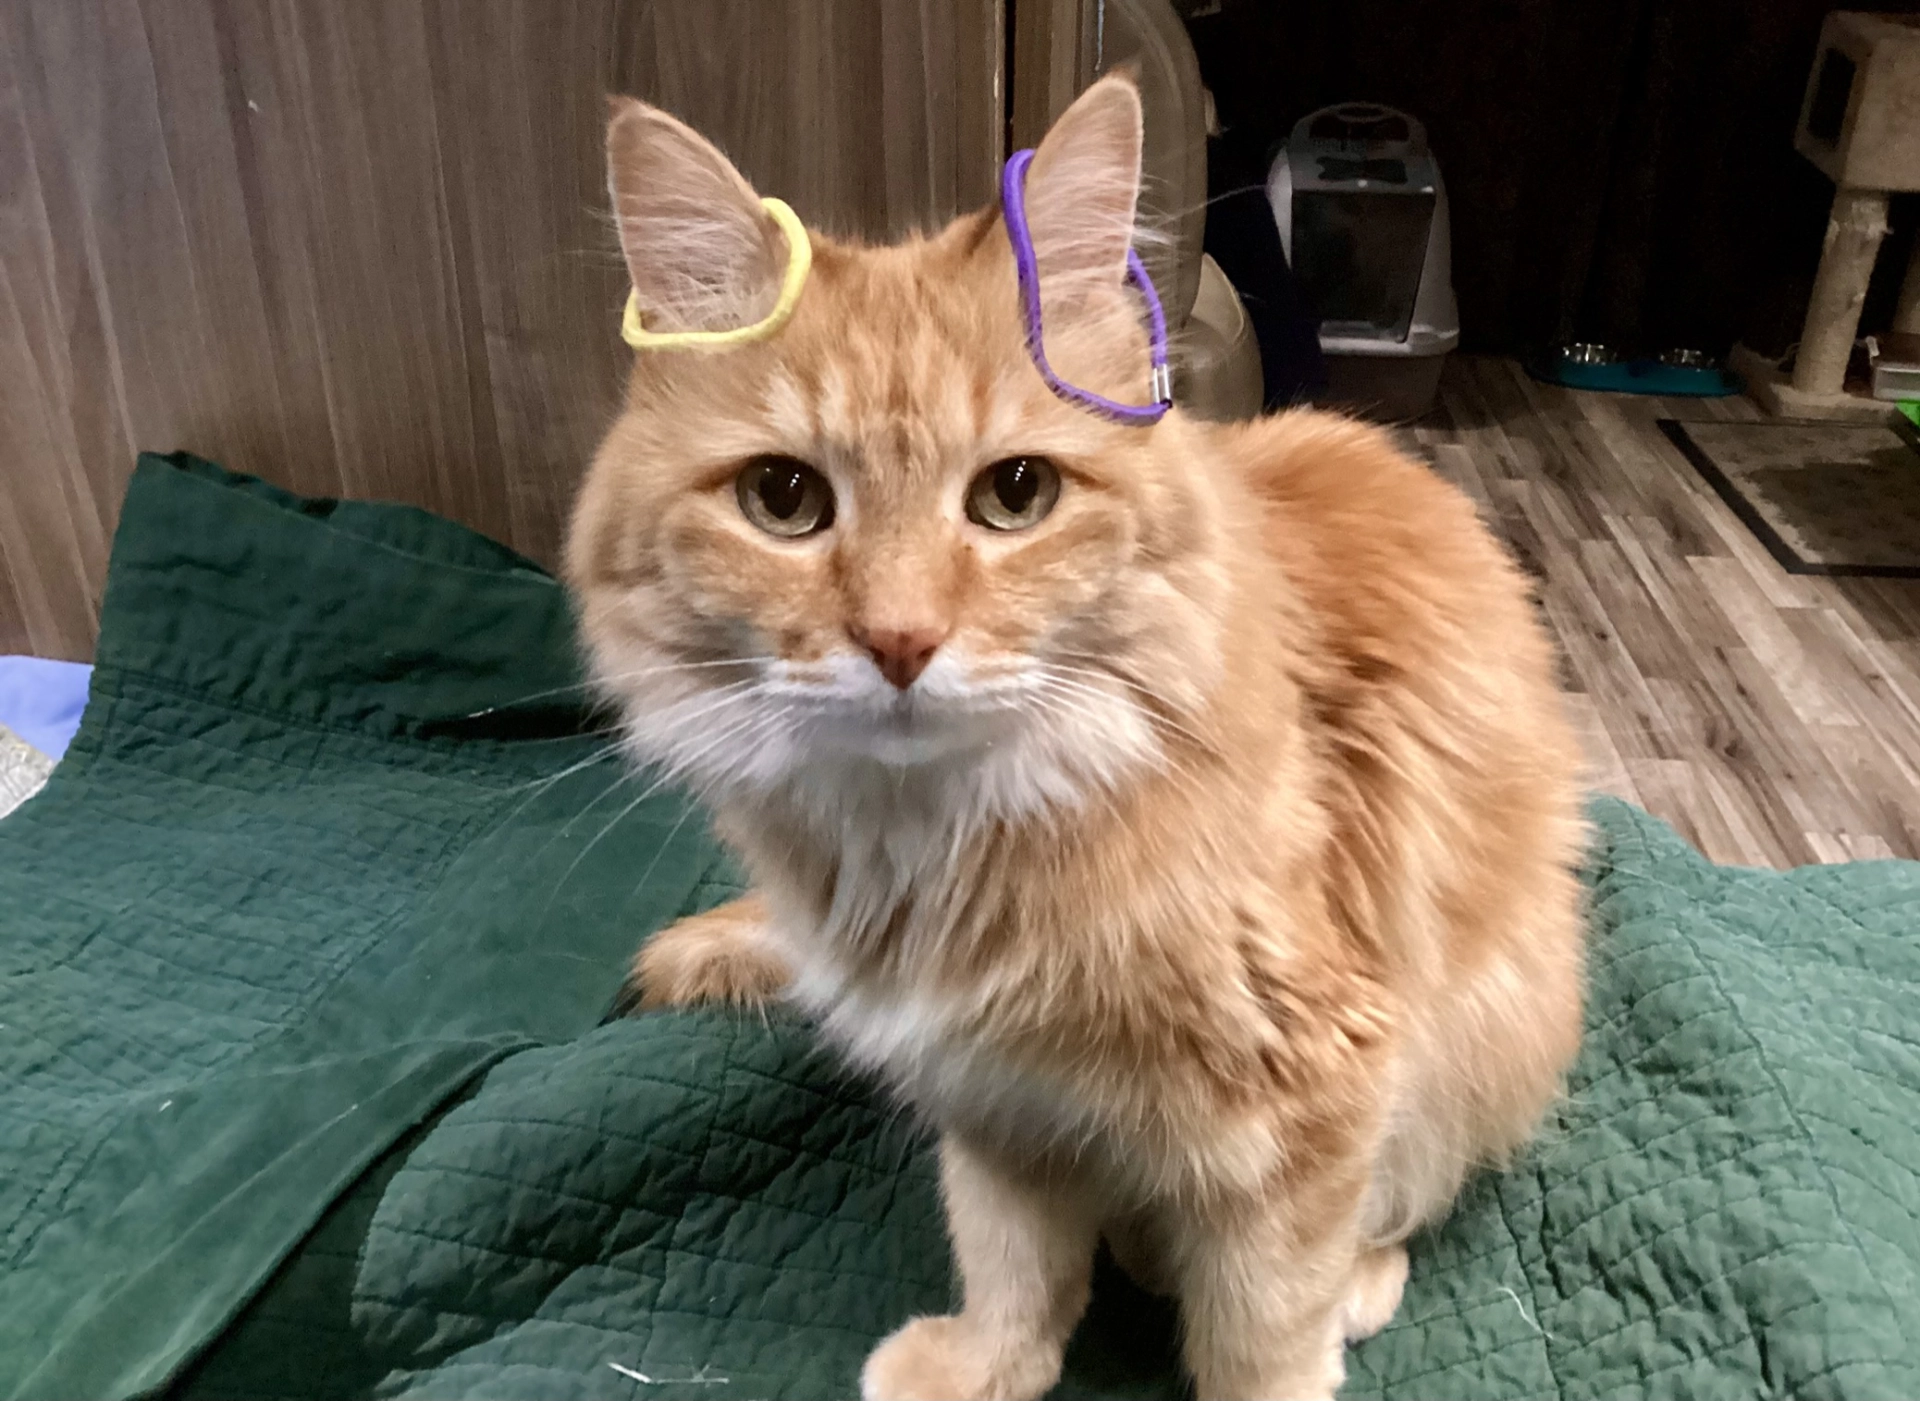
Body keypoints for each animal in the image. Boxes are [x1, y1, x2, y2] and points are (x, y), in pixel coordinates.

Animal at [568, 76, 1589, 1397]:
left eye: (1017, 495)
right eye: (783, 501)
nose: (900, 641)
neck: (938, 852)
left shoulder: (1311, 1100)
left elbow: (1263, 1327)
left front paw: (1268, 1344)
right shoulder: (995, 1099)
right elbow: (1014, 1261)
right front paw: (989, 1365)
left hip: (1488, 1036)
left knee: (1402, 1203)